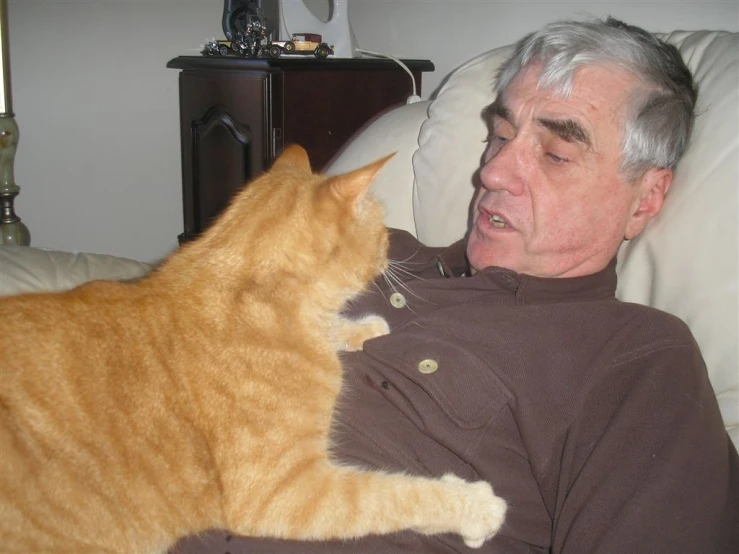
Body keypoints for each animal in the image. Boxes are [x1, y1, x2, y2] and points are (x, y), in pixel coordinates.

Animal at [0, 144, 506, 548]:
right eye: (383, 230)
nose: (390, 247)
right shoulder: (287, 494)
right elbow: (393, 495)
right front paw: (474, 506)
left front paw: (363, 327)